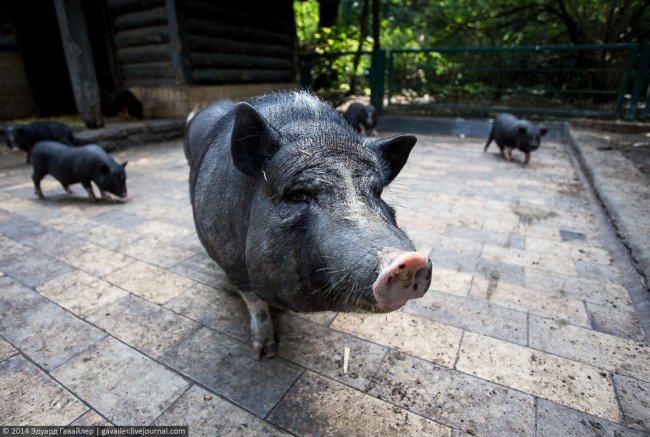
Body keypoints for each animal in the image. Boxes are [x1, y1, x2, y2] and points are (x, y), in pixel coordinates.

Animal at [185, 91, 432, 358]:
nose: (411, 260)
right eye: (297, 194)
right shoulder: (234, 263)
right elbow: (255, 304)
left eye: (378, 192)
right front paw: (264, 353)